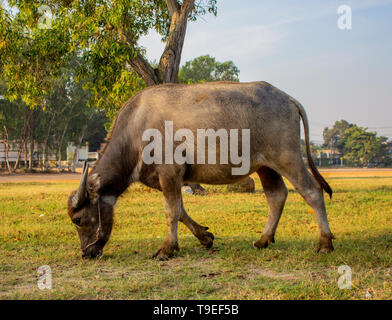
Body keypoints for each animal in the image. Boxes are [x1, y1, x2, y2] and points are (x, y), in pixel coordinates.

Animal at [66, 81, 334, 258]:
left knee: (312, 192)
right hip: (266, 167)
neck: (136, 132)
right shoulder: (170, 179)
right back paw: (263, 240)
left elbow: (171, 211)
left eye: (78, 219)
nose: (86, 253)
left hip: (288, 157)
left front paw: (166, 249)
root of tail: (287, 98)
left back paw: (324, 243)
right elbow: (181, 210)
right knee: (277, 196)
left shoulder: (170, 173)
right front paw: (205, 237)